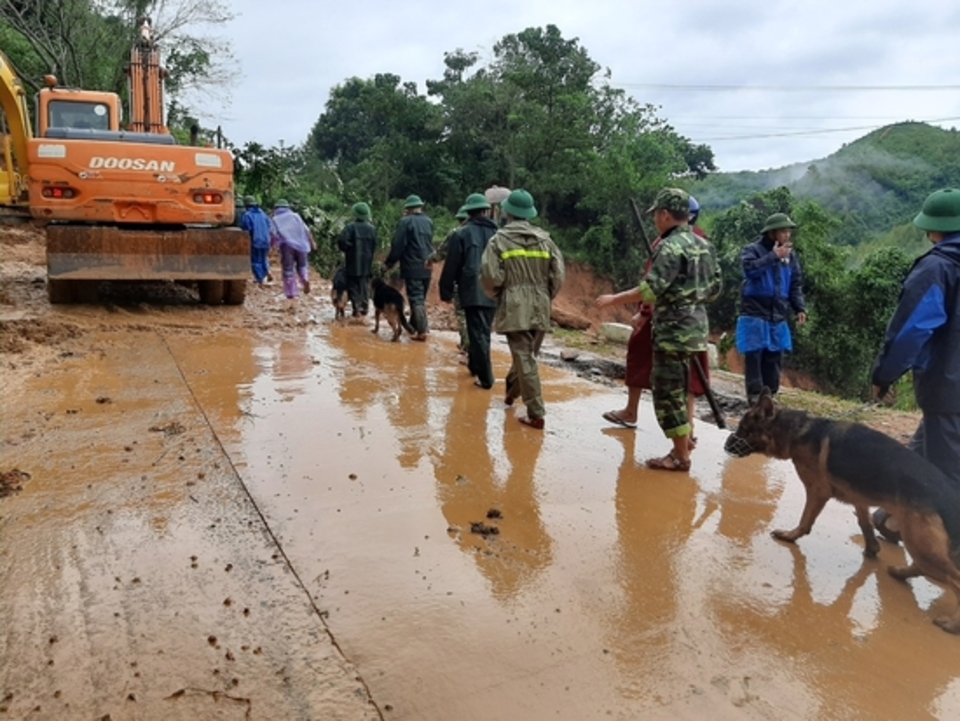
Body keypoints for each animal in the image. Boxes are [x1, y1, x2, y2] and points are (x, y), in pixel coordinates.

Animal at [728, 388, 960, 632]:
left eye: (743, 430)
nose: (726, 445)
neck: (798, 431)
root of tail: (950, 495)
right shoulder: (858, 497)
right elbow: (865, 523)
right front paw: (871, 549)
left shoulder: (817, 492)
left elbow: (805, 520)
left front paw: (790, 536)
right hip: (919, 543)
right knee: (927, 567)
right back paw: (899, 573)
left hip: (919, 542)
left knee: (955, 578)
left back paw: (952, 623)